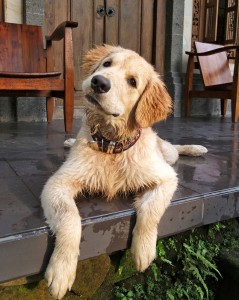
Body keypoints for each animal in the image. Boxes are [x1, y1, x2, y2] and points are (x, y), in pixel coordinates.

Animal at [41, 44, 207, 298]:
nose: (99, 82)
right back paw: (69, 142)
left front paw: (143, 250)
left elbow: (150, 211)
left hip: (167, 155)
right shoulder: (58, 182)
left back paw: (196, 148)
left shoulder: (166, 177)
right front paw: (62, 269)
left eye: (132, 81)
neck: (112, 144)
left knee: (175, 149)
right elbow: (69, 218)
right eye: (107, 64)